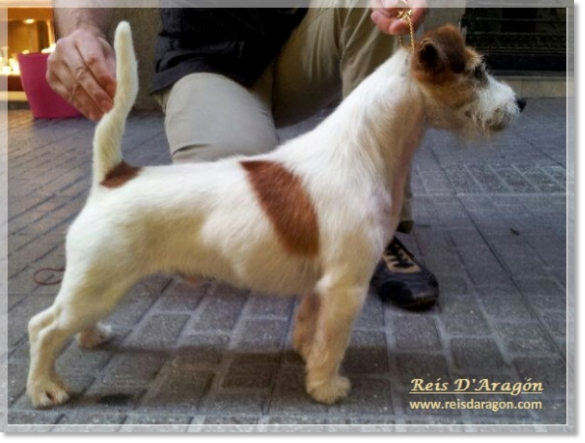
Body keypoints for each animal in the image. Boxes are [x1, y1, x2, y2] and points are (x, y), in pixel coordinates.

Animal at [26, 21, 524, 410]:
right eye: (478, 71)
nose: (520, 103)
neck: (362, 150)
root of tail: (114, 175)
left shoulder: (321, 285)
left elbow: (310, 323)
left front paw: (305, 354)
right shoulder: (347, 285)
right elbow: (333, 342)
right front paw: (326, 386)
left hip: (98, 286)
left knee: (68, 321)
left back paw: (93, 337)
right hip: (98, 281)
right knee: (43, 328)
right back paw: (45, 389)